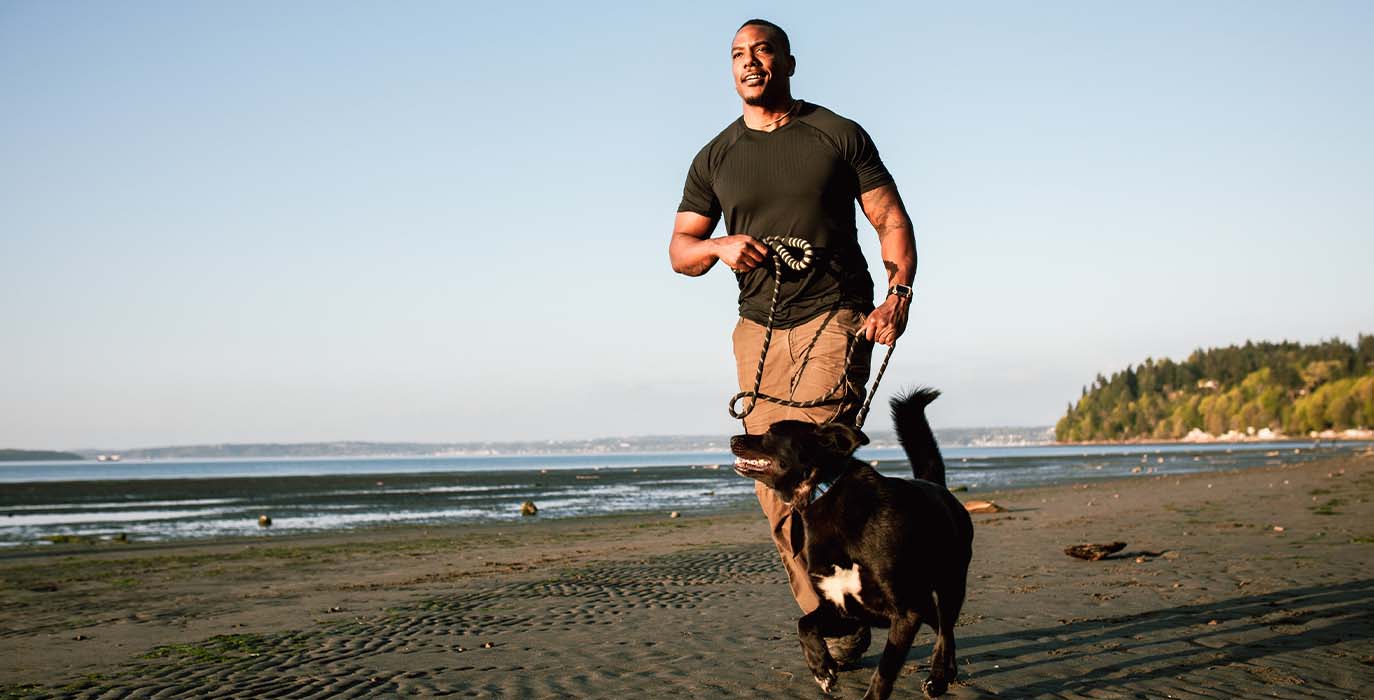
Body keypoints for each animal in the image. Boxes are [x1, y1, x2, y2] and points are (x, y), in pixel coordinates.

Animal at [736, 390, 972, 695]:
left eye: (772, 432)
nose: (733, 439)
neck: (824, 492)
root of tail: (938, 488)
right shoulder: (843, 611)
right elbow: (804, 624)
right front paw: (822, 667)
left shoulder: (906, 614)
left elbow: (885, 670)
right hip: (925, 601)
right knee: (942, 628)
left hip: (950, 585)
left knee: (946, 630)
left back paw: (939, 677)